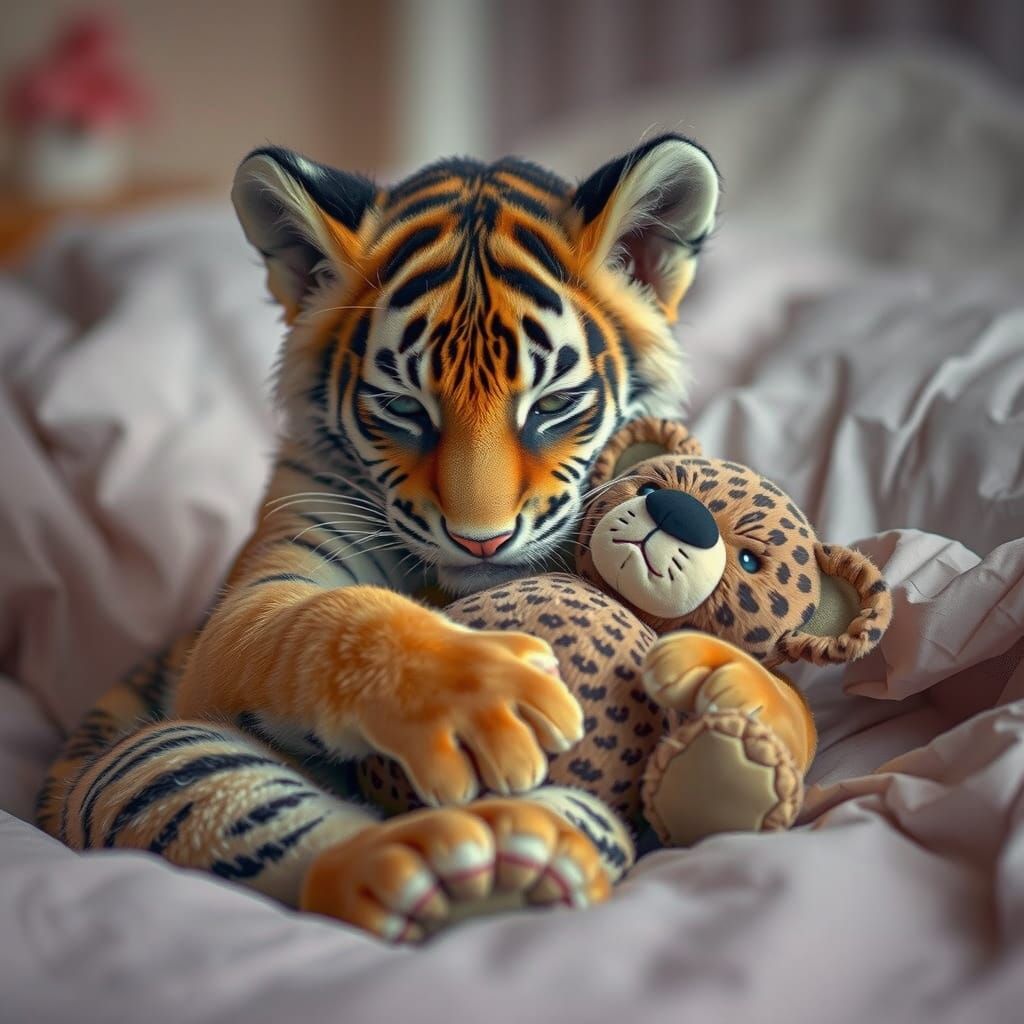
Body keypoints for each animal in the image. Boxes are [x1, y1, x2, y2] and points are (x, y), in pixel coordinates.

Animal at [37, 133, 720, 943]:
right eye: (403, 407)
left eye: (553, 405)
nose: (481, 541)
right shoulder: (246, 610)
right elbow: (329, 619)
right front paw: (479, 695)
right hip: (143, 756)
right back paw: (468, 865)